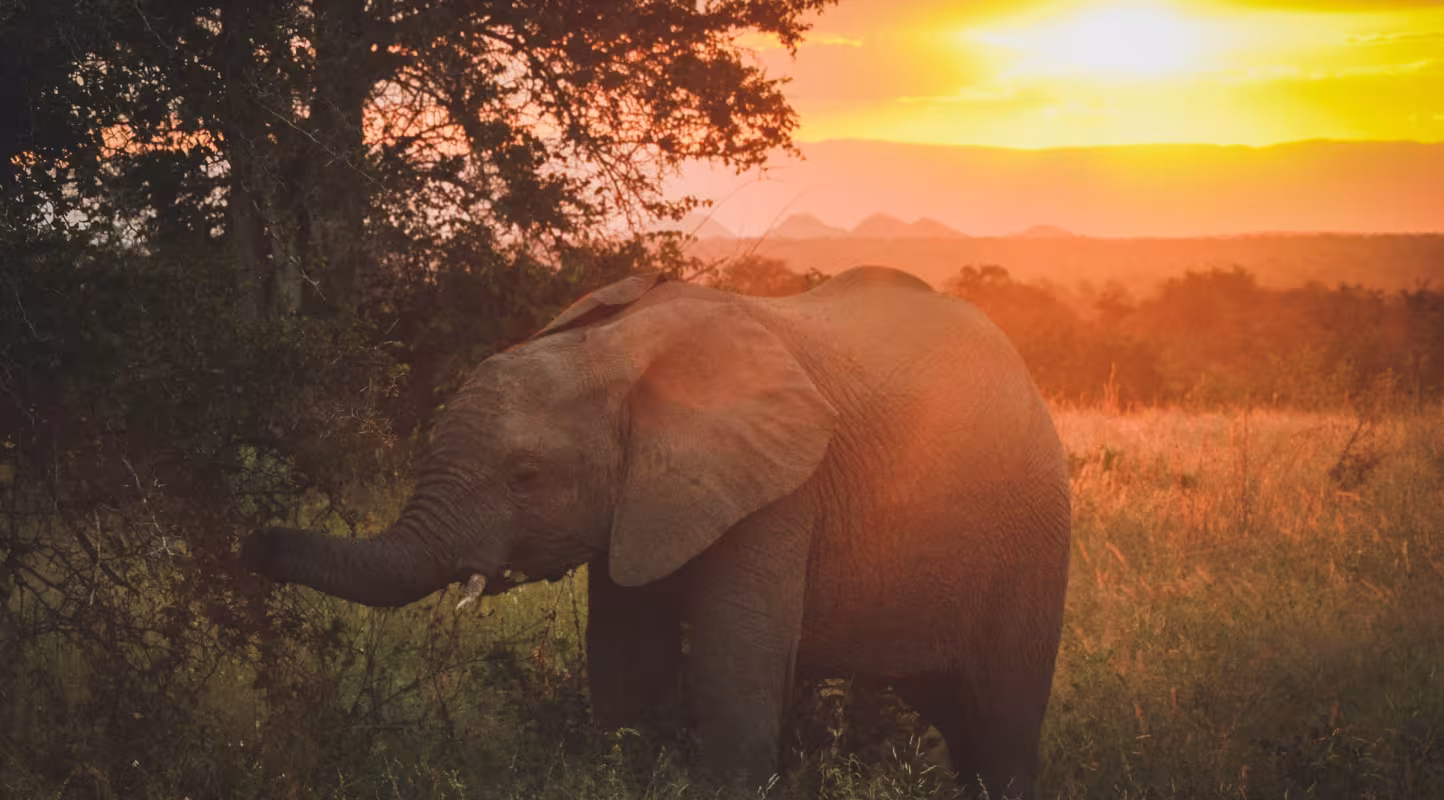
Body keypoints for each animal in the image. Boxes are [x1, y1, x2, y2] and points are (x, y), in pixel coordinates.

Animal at [242, 266, 1072, 797]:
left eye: (525, 476)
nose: (253, 543)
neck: (616, 350)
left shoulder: (779, 489)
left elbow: (736, 665)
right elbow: (625, 660)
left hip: (1032, 528)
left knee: (1001, 719)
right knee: (957, 715)